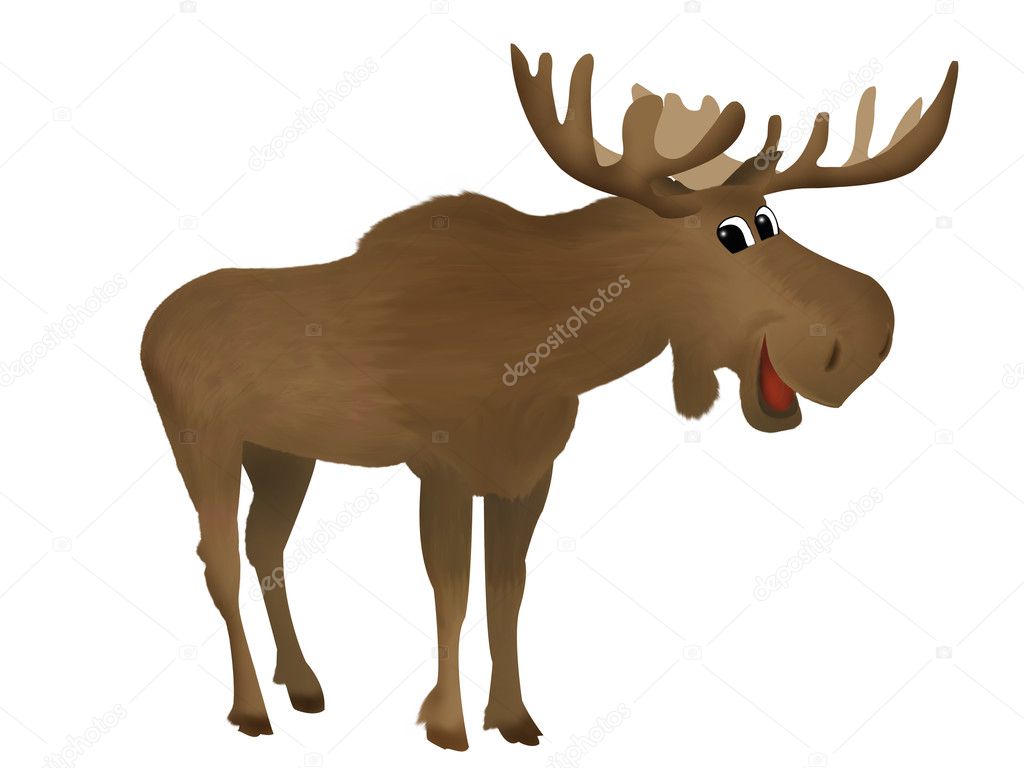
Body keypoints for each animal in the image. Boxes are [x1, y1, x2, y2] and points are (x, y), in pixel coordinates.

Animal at [140, 45, 957, 749]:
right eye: (735, 232)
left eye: (771, 218)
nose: (866, 338)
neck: (557, 354)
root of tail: (149, 327)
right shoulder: (443, 469)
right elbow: (452, 594)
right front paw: (447, 725)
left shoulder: (527, 473)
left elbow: (508, 591)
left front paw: (514, 717)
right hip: (203, 444)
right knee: (217, 558)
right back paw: (251, 708)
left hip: (284, 454)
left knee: (266, 546)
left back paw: (303, 682)